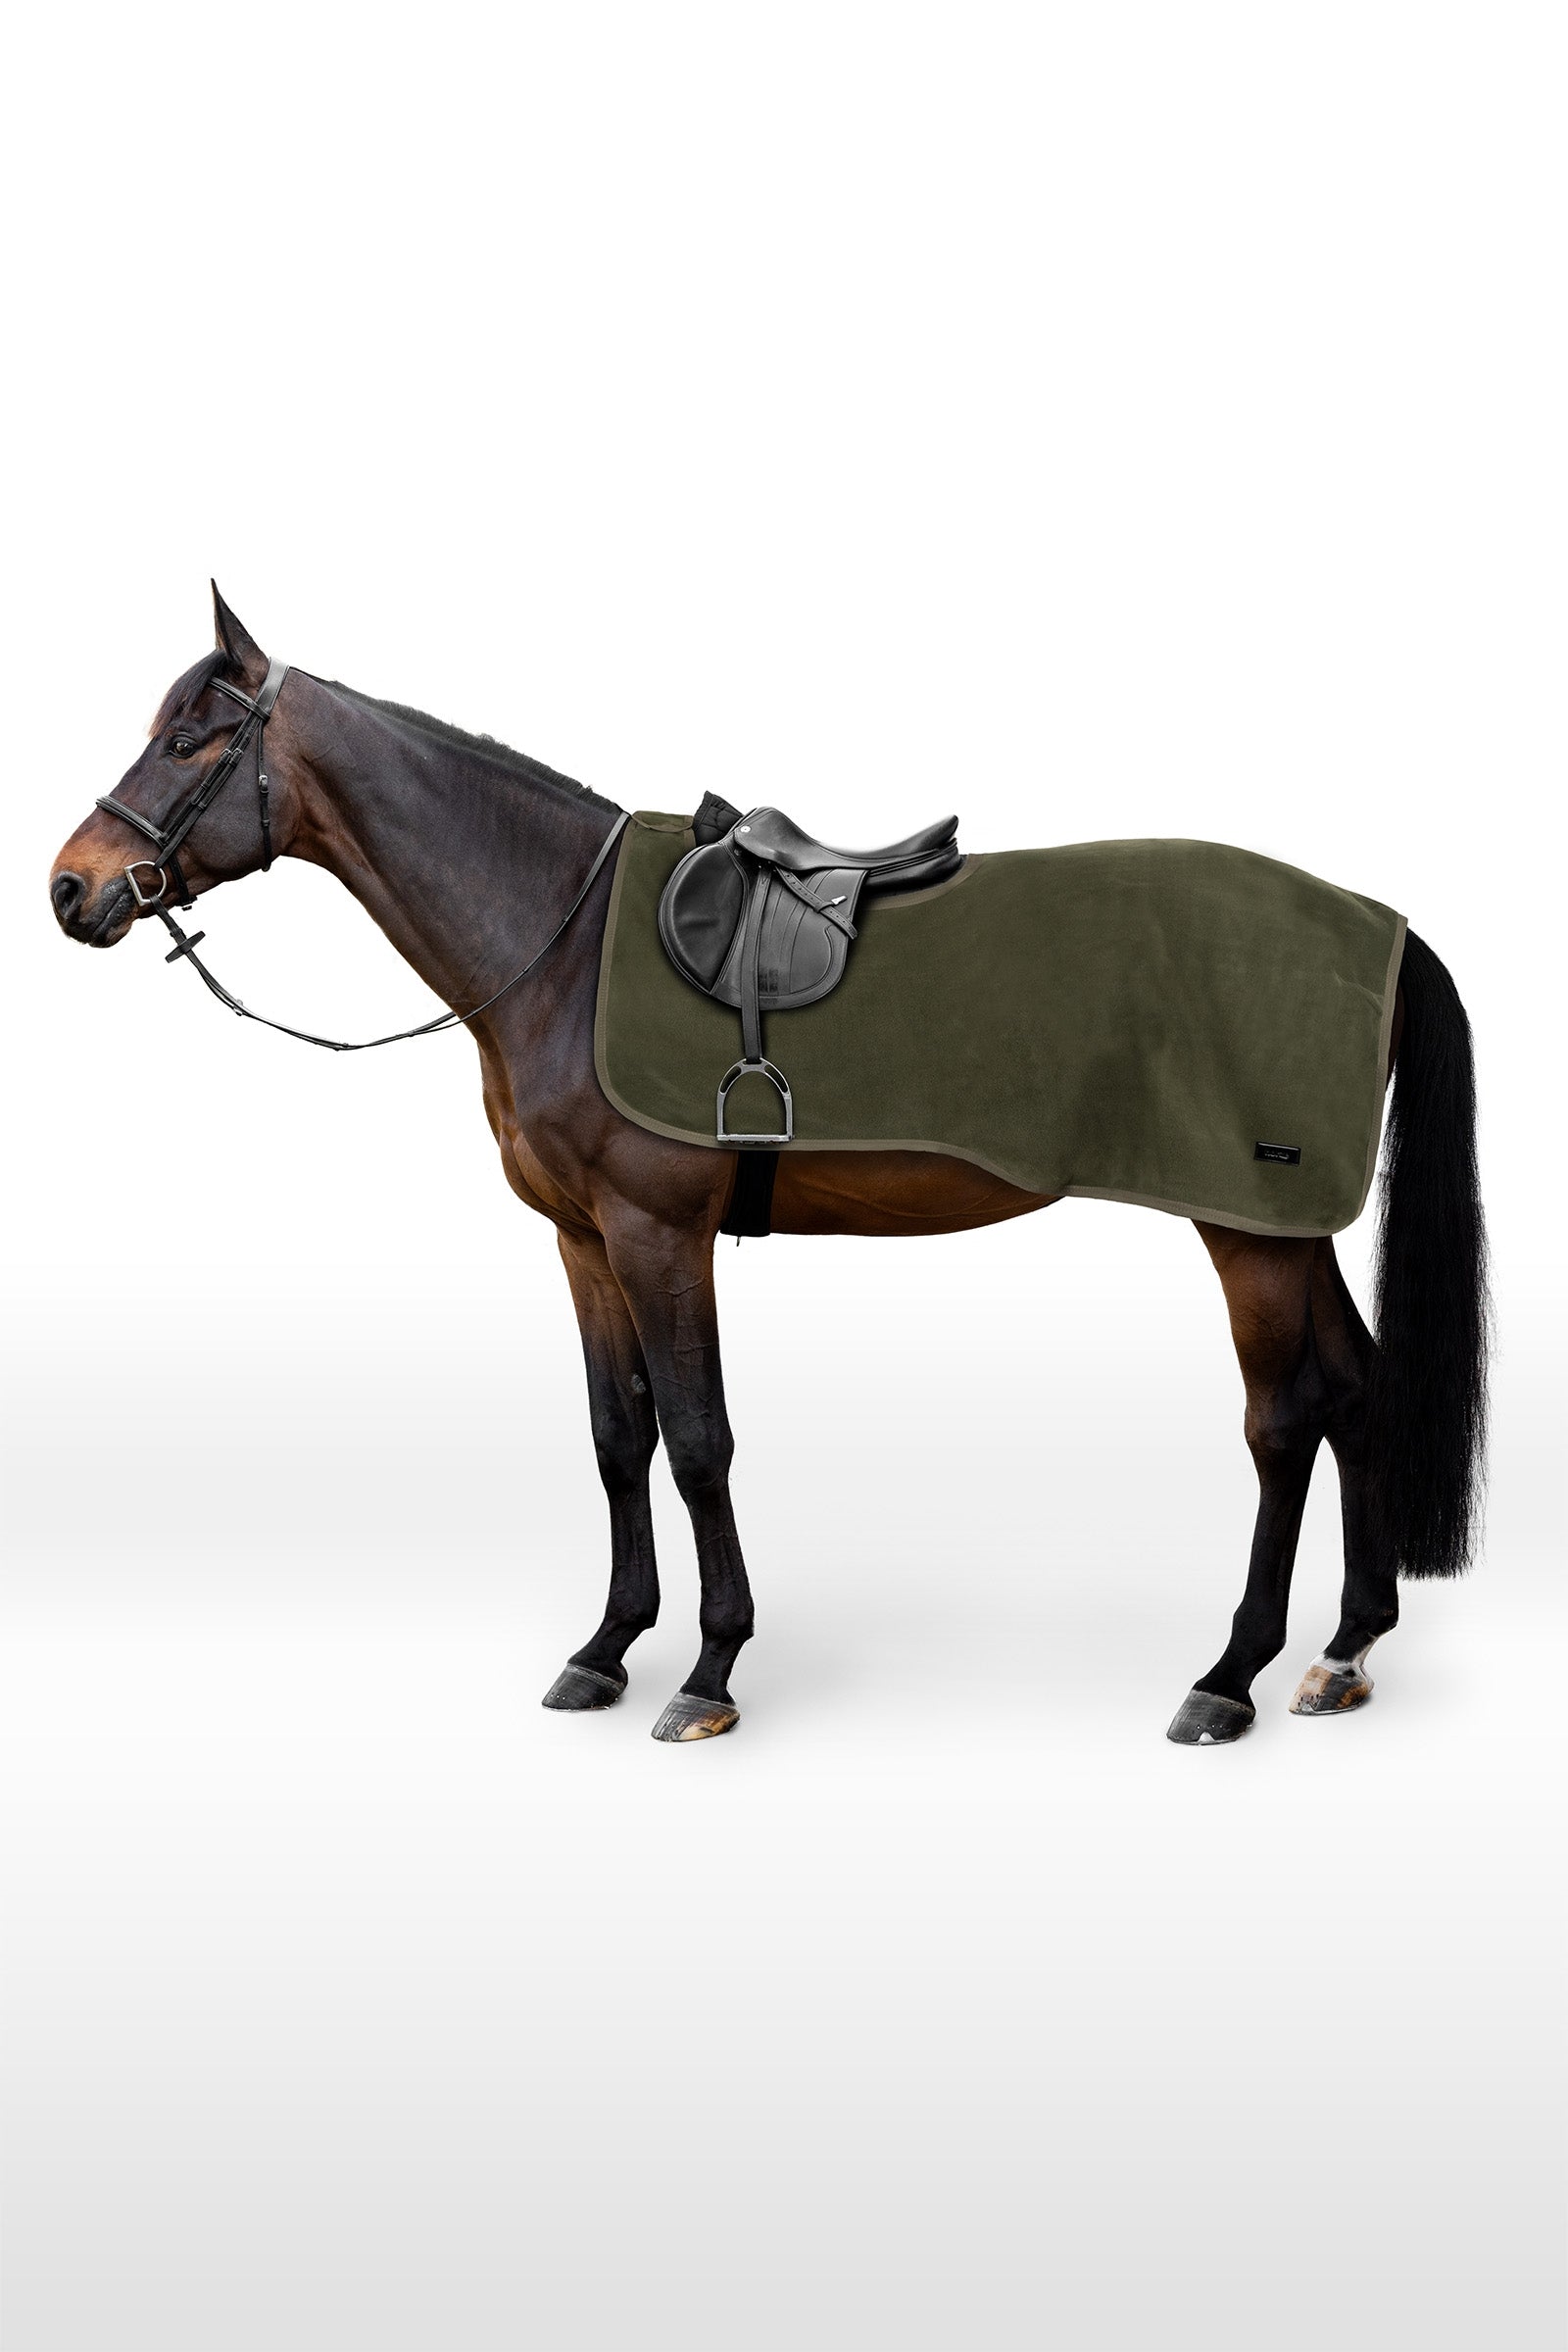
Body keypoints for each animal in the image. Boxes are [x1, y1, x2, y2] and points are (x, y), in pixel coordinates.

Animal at [49, 591, 1489, 1745]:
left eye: (192, 739)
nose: (72, 889)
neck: (558, 944)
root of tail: (1380, 928)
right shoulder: (583, 1241)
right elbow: (617, 1437)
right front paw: (605, 1649)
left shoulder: (657, 1232)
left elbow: (698, 1442)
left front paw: (709, 1671)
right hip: (1283, 1222)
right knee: (1354, 1391)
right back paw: (1344, 1653)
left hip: (1244, 1226)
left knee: (1284, 1419)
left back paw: (1231, 1675)